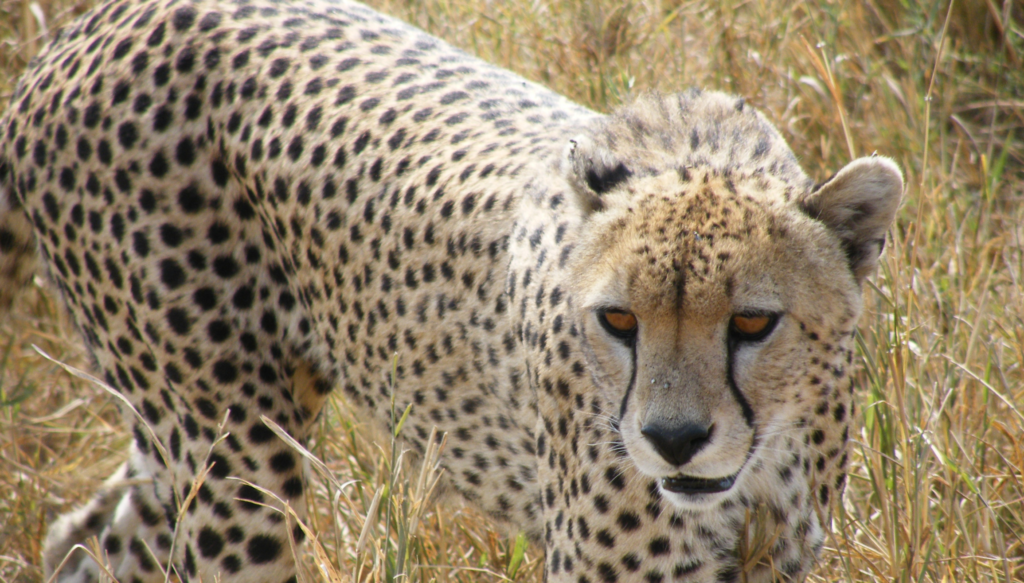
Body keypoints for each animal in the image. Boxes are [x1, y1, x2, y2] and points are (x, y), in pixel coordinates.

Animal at [0, 0, 901, 577]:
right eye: (618, 319)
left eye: (751, 322)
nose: (673, 438)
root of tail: (90, 26)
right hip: (234, 448)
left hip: (189, 423)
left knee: (88, 534)